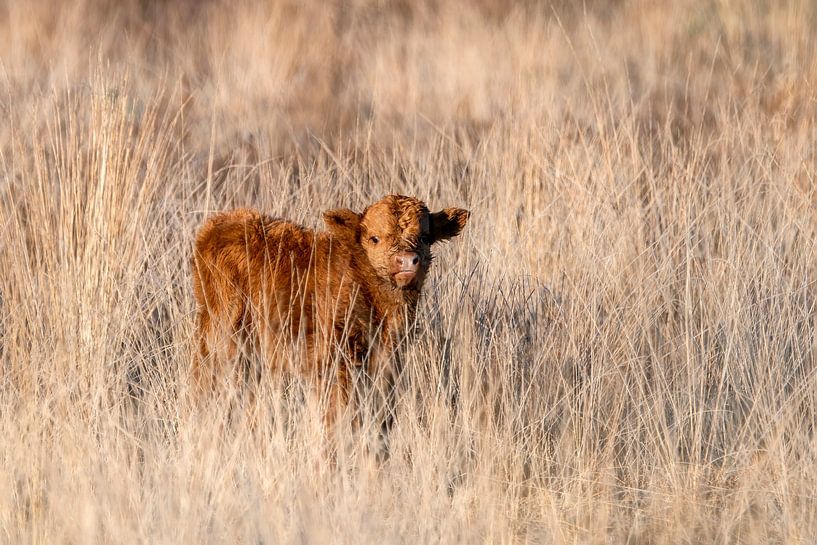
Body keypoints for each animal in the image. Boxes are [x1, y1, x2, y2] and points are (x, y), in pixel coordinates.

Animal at [191, 195, 469, 439]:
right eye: (374, 238)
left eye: (424, 237)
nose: (407, 261)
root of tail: (217, 225)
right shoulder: (337, 362)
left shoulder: (387, 361)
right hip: (223, 339)